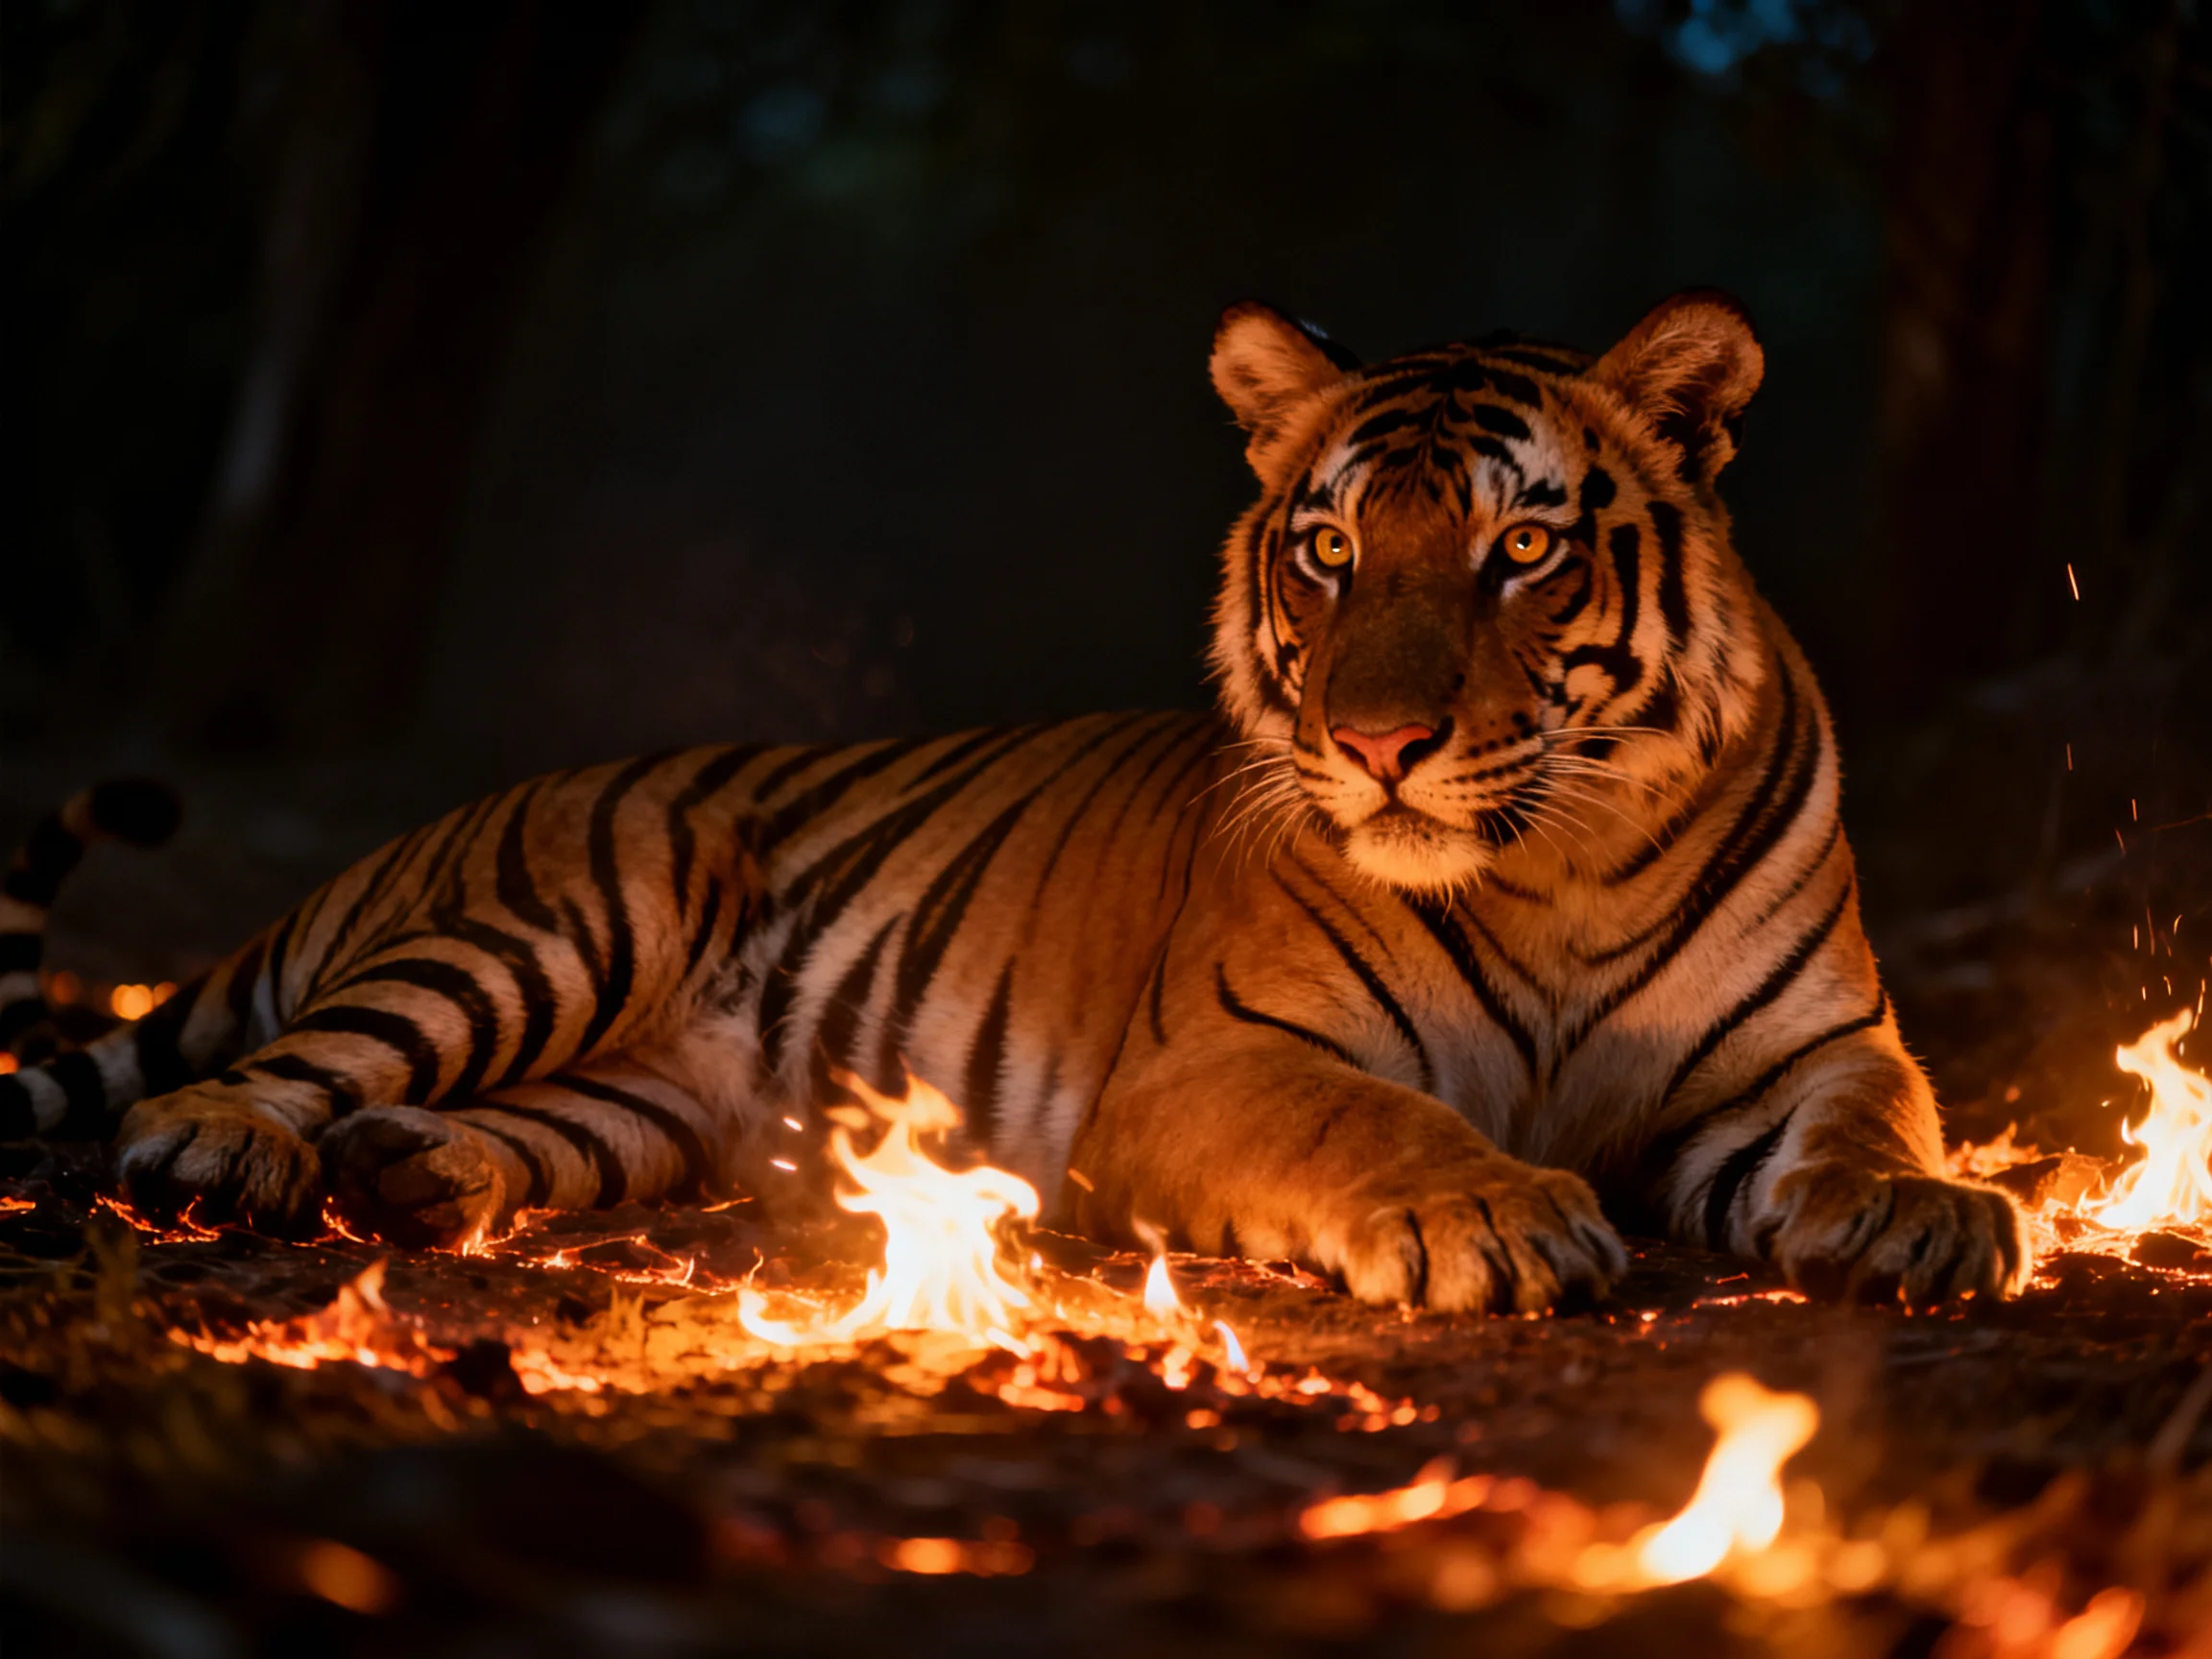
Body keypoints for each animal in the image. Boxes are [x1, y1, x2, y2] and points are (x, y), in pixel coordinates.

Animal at [0, 291, 2027, 1311]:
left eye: (1520, 547)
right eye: (1327, 551)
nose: (1376, 743)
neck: (1554, 869)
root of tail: (413, 839)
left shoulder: (1810, 1051)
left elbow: (1867, 1125)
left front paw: (1919, 1217)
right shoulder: (1218, 1061)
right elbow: (1381, 1119)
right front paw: (1498, 1215)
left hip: (631, 1101)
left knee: (468, 1126)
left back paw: (412, 1173)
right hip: (570, 920)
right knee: (246, 1073)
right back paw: (230, 1147)